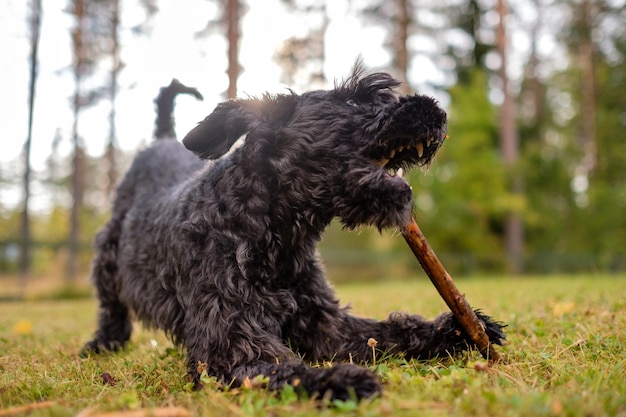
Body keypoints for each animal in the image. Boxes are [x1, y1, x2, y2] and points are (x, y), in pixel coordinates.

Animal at [81, 64, 502, 400]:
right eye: (352, 103)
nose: (437, 111)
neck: (271, 236)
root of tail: (161, 142)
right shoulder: (229, 344)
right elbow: (286, 371)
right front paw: (340, 381)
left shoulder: (325, 324)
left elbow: (386, 331)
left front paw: (457, 330)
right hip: (107, 257)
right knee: (111, 308)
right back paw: (102, 344)